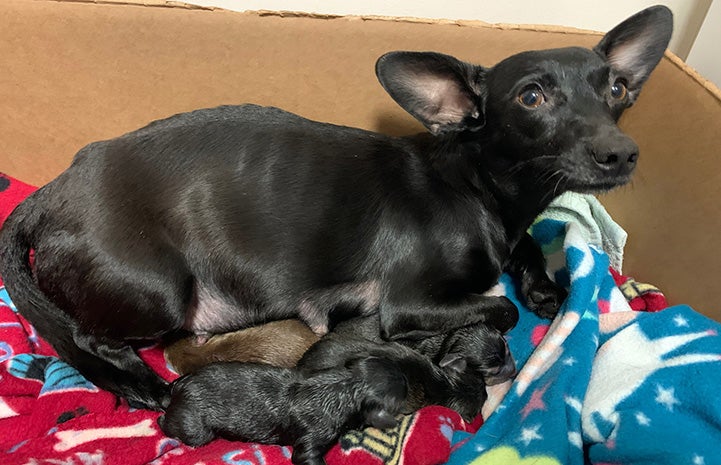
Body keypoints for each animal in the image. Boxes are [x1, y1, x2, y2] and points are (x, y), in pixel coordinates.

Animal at [0, 5, 668, 408]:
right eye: (531, 98)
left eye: (616, 89)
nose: (622, 153)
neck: (483, 191)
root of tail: (57, 187)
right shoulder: (410, 303)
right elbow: (498, 307)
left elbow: (524, 253)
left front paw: (546, 288)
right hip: (157, 291)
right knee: (88, 337)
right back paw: (136, 381)